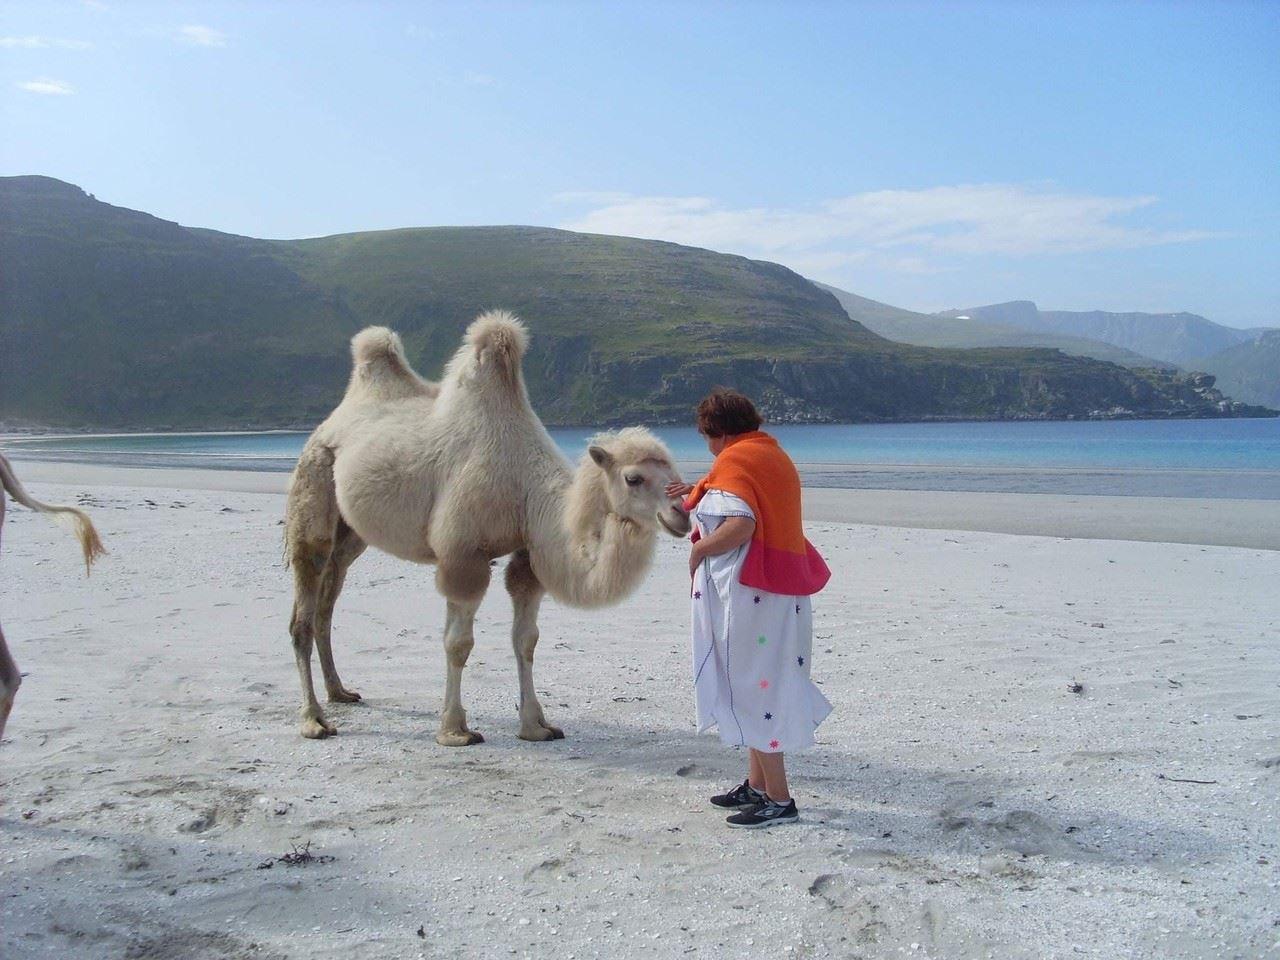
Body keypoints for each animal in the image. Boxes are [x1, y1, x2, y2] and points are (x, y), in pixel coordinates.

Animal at [284, 311, 691, 743]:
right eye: (634, 478)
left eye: (676, 474)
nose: (681, 514)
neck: (528, 490)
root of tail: (330, 422)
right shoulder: (463, 555)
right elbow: (458, 643)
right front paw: (455, 730)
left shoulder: (527, 556)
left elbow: (525, 640)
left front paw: (535, 725)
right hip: (313, 481)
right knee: (306, 595)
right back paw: (313, 718)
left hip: (352, 533)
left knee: (330, 596)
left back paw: (339, 691)